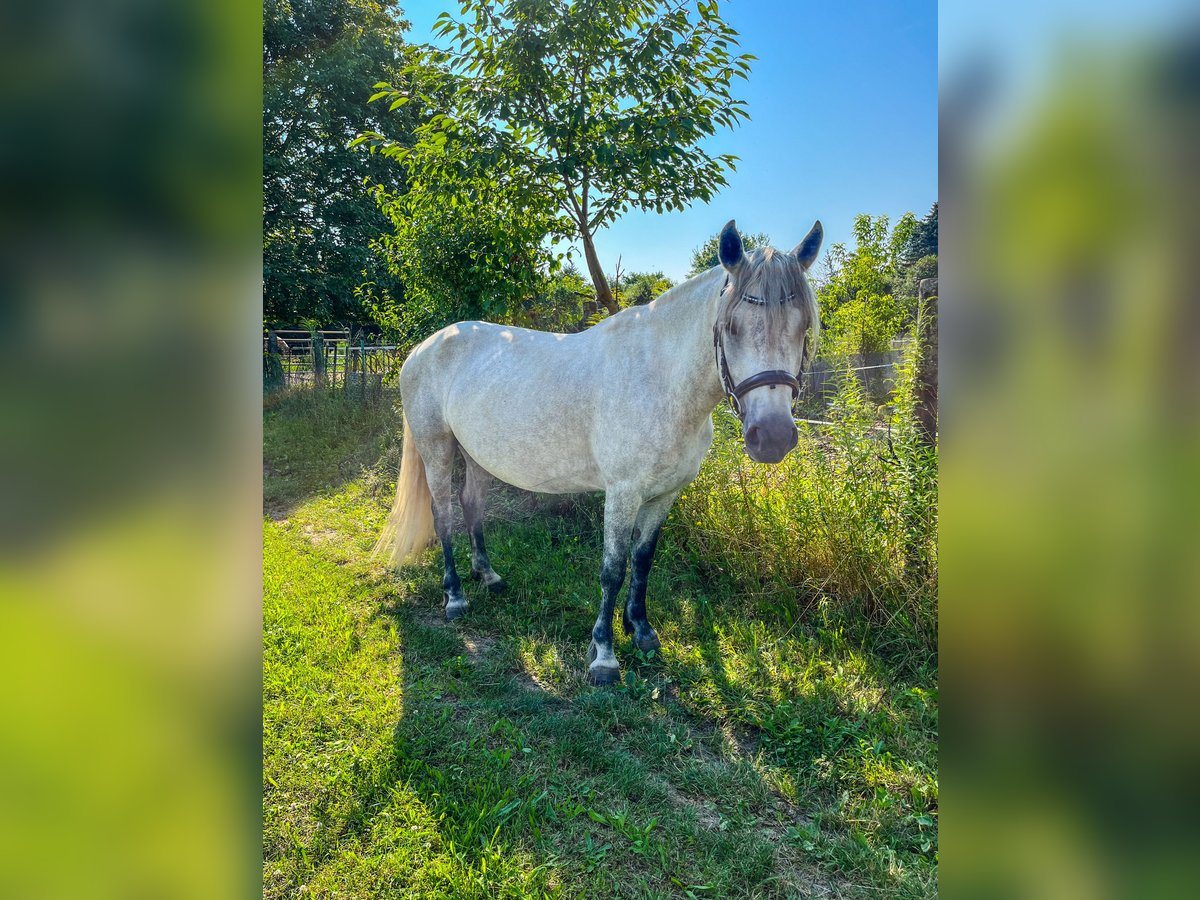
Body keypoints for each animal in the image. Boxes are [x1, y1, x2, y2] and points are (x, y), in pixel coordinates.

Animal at [376, 224, 825, 681]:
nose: (772, 436)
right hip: (436, 448)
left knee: (471, 505)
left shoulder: (664, 495)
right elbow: (613, 569)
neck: (660, 379)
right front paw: (604, 655)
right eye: (730, 326)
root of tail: (422, 349)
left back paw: (488, 575)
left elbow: (642, 560)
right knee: (443, 514)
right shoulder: (623, 492)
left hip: (477, 453)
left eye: (804, 327)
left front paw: (641, 630)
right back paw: (455, 597)